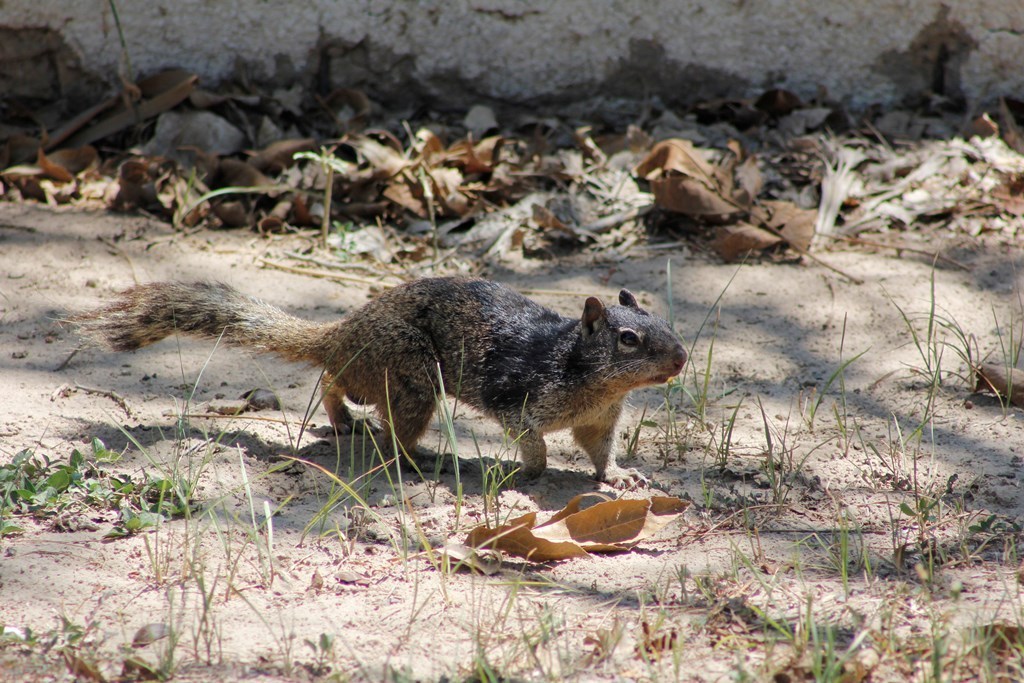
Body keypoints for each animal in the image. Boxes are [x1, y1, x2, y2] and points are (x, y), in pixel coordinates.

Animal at [72, 277, 687, 486]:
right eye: (628, 339)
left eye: (662, 319)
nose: (681, 359)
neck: (597, 384)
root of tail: (342, 331)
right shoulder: (520, 398)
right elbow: (530, 441)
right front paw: (529, 473)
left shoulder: (600, 421)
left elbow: (600, 452)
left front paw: (621, 476)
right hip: (412, 379)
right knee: (382, 423)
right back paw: (419, 459)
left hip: (379, 379)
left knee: (331, 379)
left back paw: (345, 422)